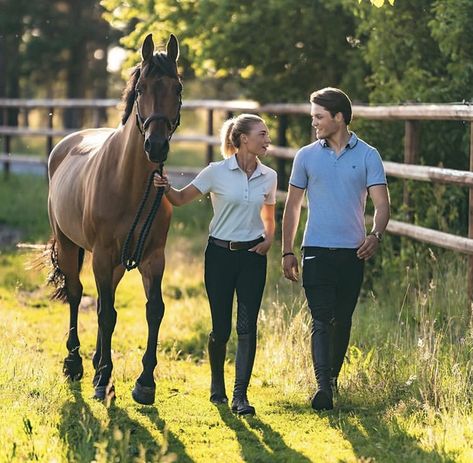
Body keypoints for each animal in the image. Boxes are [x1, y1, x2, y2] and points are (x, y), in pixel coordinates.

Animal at [46, 34, 183, 404]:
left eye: (177, 88)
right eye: (141, 89)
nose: (156, 146)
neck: (131, 184)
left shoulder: (153, 258)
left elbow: (154, 310)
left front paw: (145, 382)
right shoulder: (103, 255)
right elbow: (106, 313)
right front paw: (103, 379)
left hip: (119, 262)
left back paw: (94, 360)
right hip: (70, 245)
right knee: (77, 294)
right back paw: (75, 364)